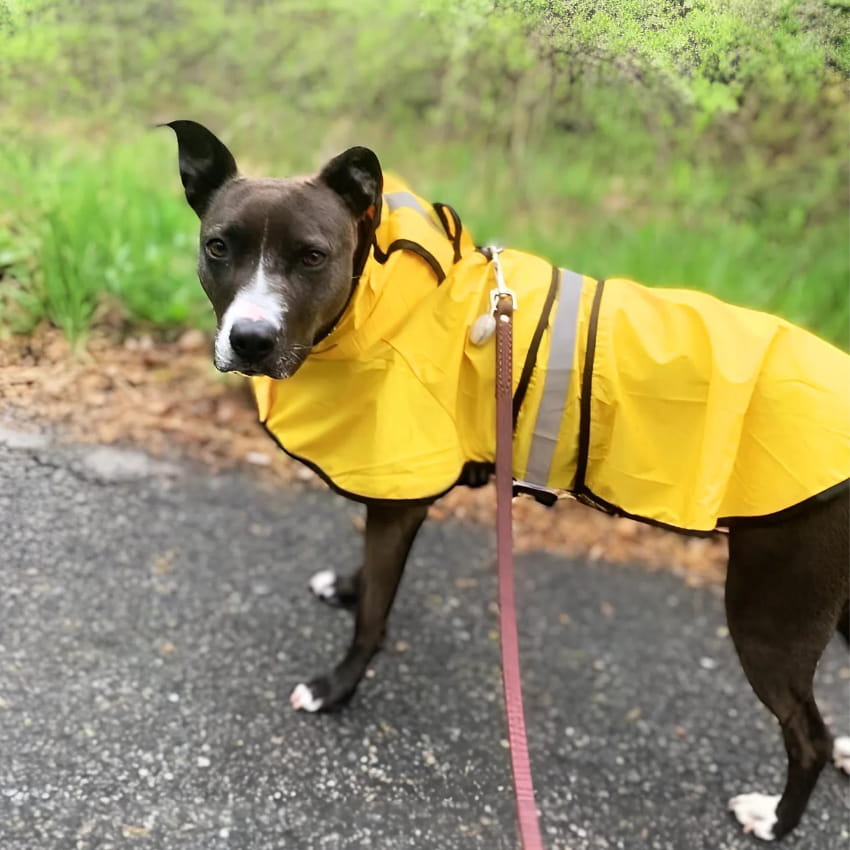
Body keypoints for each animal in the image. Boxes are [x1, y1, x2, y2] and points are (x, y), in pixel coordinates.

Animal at [164, 121, 848, 840]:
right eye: (218, 247)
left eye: (312, 257)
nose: (251, 339)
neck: (377, 296)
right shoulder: (397, 485)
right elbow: (371, 576)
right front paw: (347, 587)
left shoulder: (399, 500)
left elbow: (376, 615)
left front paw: (336, 687)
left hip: (771, 614)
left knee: (809, 737)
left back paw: (775, 819)